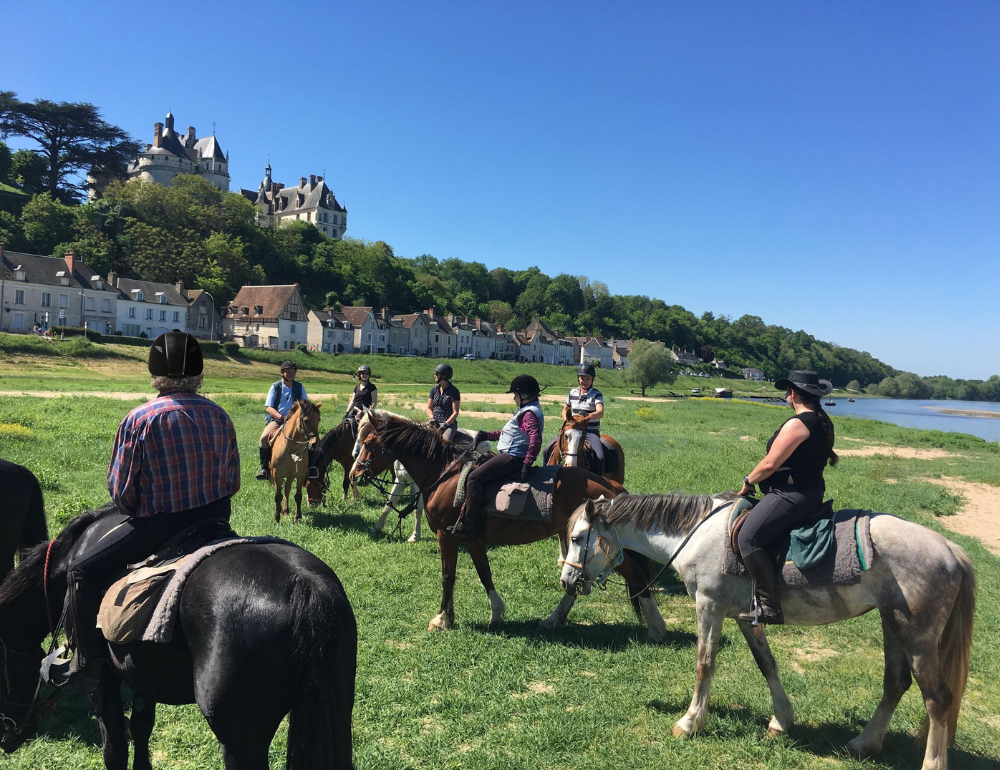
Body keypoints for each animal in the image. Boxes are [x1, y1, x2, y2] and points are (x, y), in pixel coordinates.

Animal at [0, 504, 358, 768]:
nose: (7, 738)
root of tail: (305, 585)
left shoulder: (103, 680)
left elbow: (114, 746)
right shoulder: (143, 674)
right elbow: (141, 729)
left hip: (241, 741)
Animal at [352, 412, 672, 640]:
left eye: (368, 444)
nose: (355, 475)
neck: (446, 473)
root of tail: (611, 486)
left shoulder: (448, 537)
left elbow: (448, 577)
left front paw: (442, 619)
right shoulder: (472, 539)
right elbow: (484, 574)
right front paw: (497, 612)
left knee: (635, 576)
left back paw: (656, 628)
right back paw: (553, 620)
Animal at [564, 492, 976, 768]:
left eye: (576, 538)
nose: (567, 579)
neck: (697, 535)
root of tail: (950, 549)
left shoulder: (709, 607)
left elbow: (704, 664)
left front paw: (690, 722)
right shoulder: (747, 617)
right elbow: (767, 664)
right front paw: (782, 720)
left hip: (918, 635)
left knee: (938, 699)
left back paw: (929, 762)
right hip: (893, 624)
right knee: (895, 684)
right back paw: (862, 743)